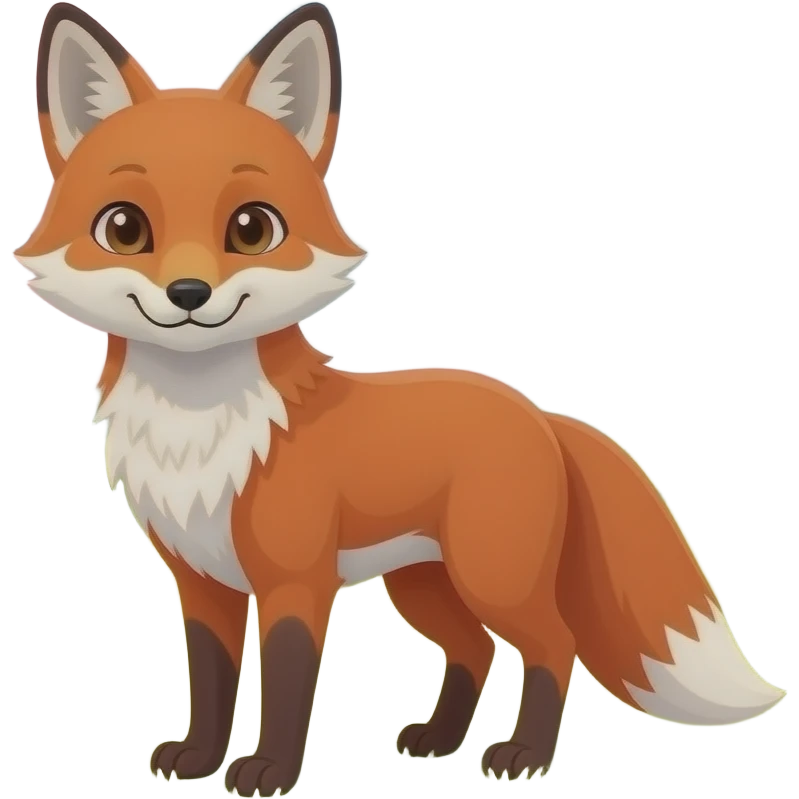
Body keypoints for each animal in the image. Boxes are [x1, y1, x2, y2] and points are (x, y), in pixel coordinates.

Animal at [15, 2, 787, 796]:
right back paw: (439, 740)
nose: (189, 294)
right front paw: (199, 759)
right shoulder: (201, 583)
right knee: (475, 651)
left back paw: (524, 756)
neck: (200, 425)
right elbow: (210, 679)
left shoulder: (296, 582)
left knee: (554, 644)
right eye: (124, 227)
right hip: (423, 585)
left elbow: (286, 684)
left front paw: (269, 770)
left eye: (252, 228)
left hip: (491, 577)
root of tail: (540, 413)